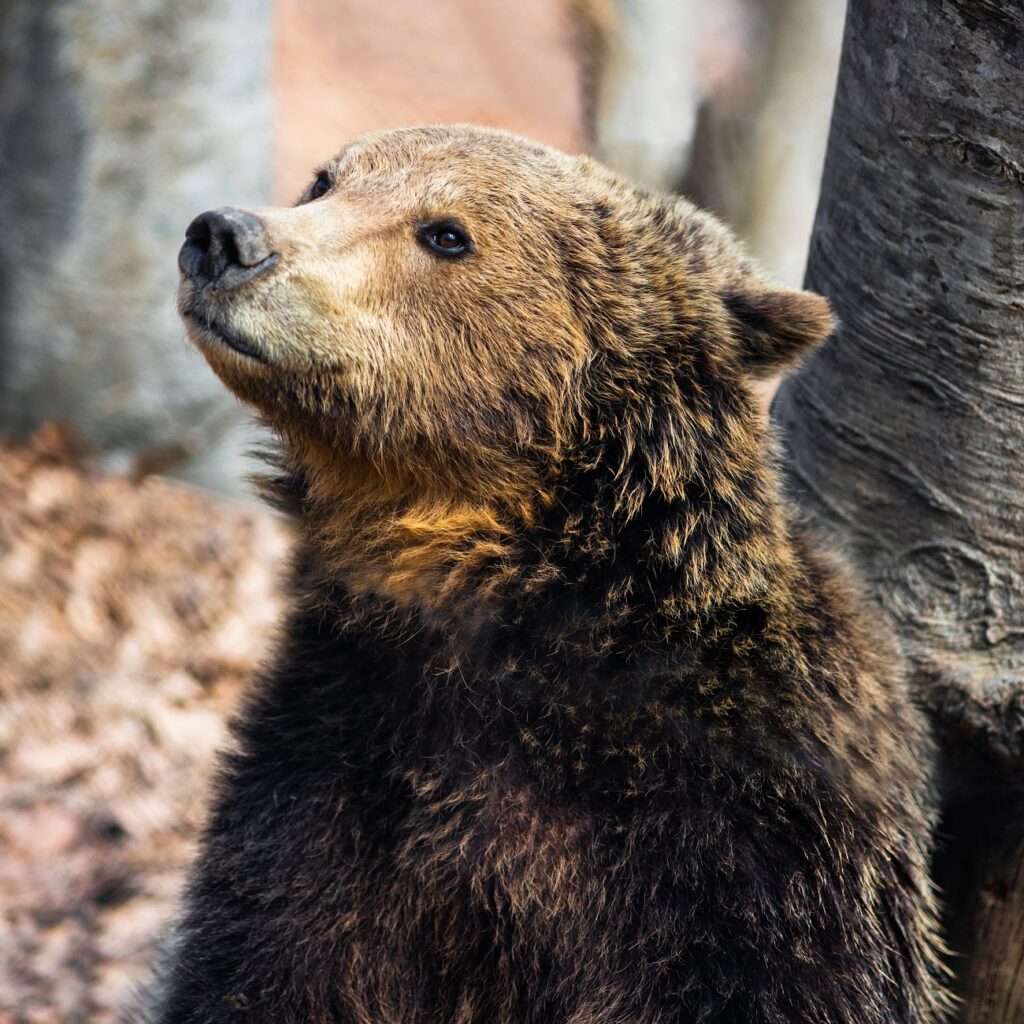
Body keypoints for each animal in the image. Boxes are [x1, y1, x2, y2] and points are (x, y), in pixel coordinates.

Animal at [140, 123, 946, 1019]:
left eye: (446, 232)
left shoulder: (751, 853)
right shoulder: (337, 768)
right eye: (325, 181)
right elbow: (269, 960)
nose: (226, 237)